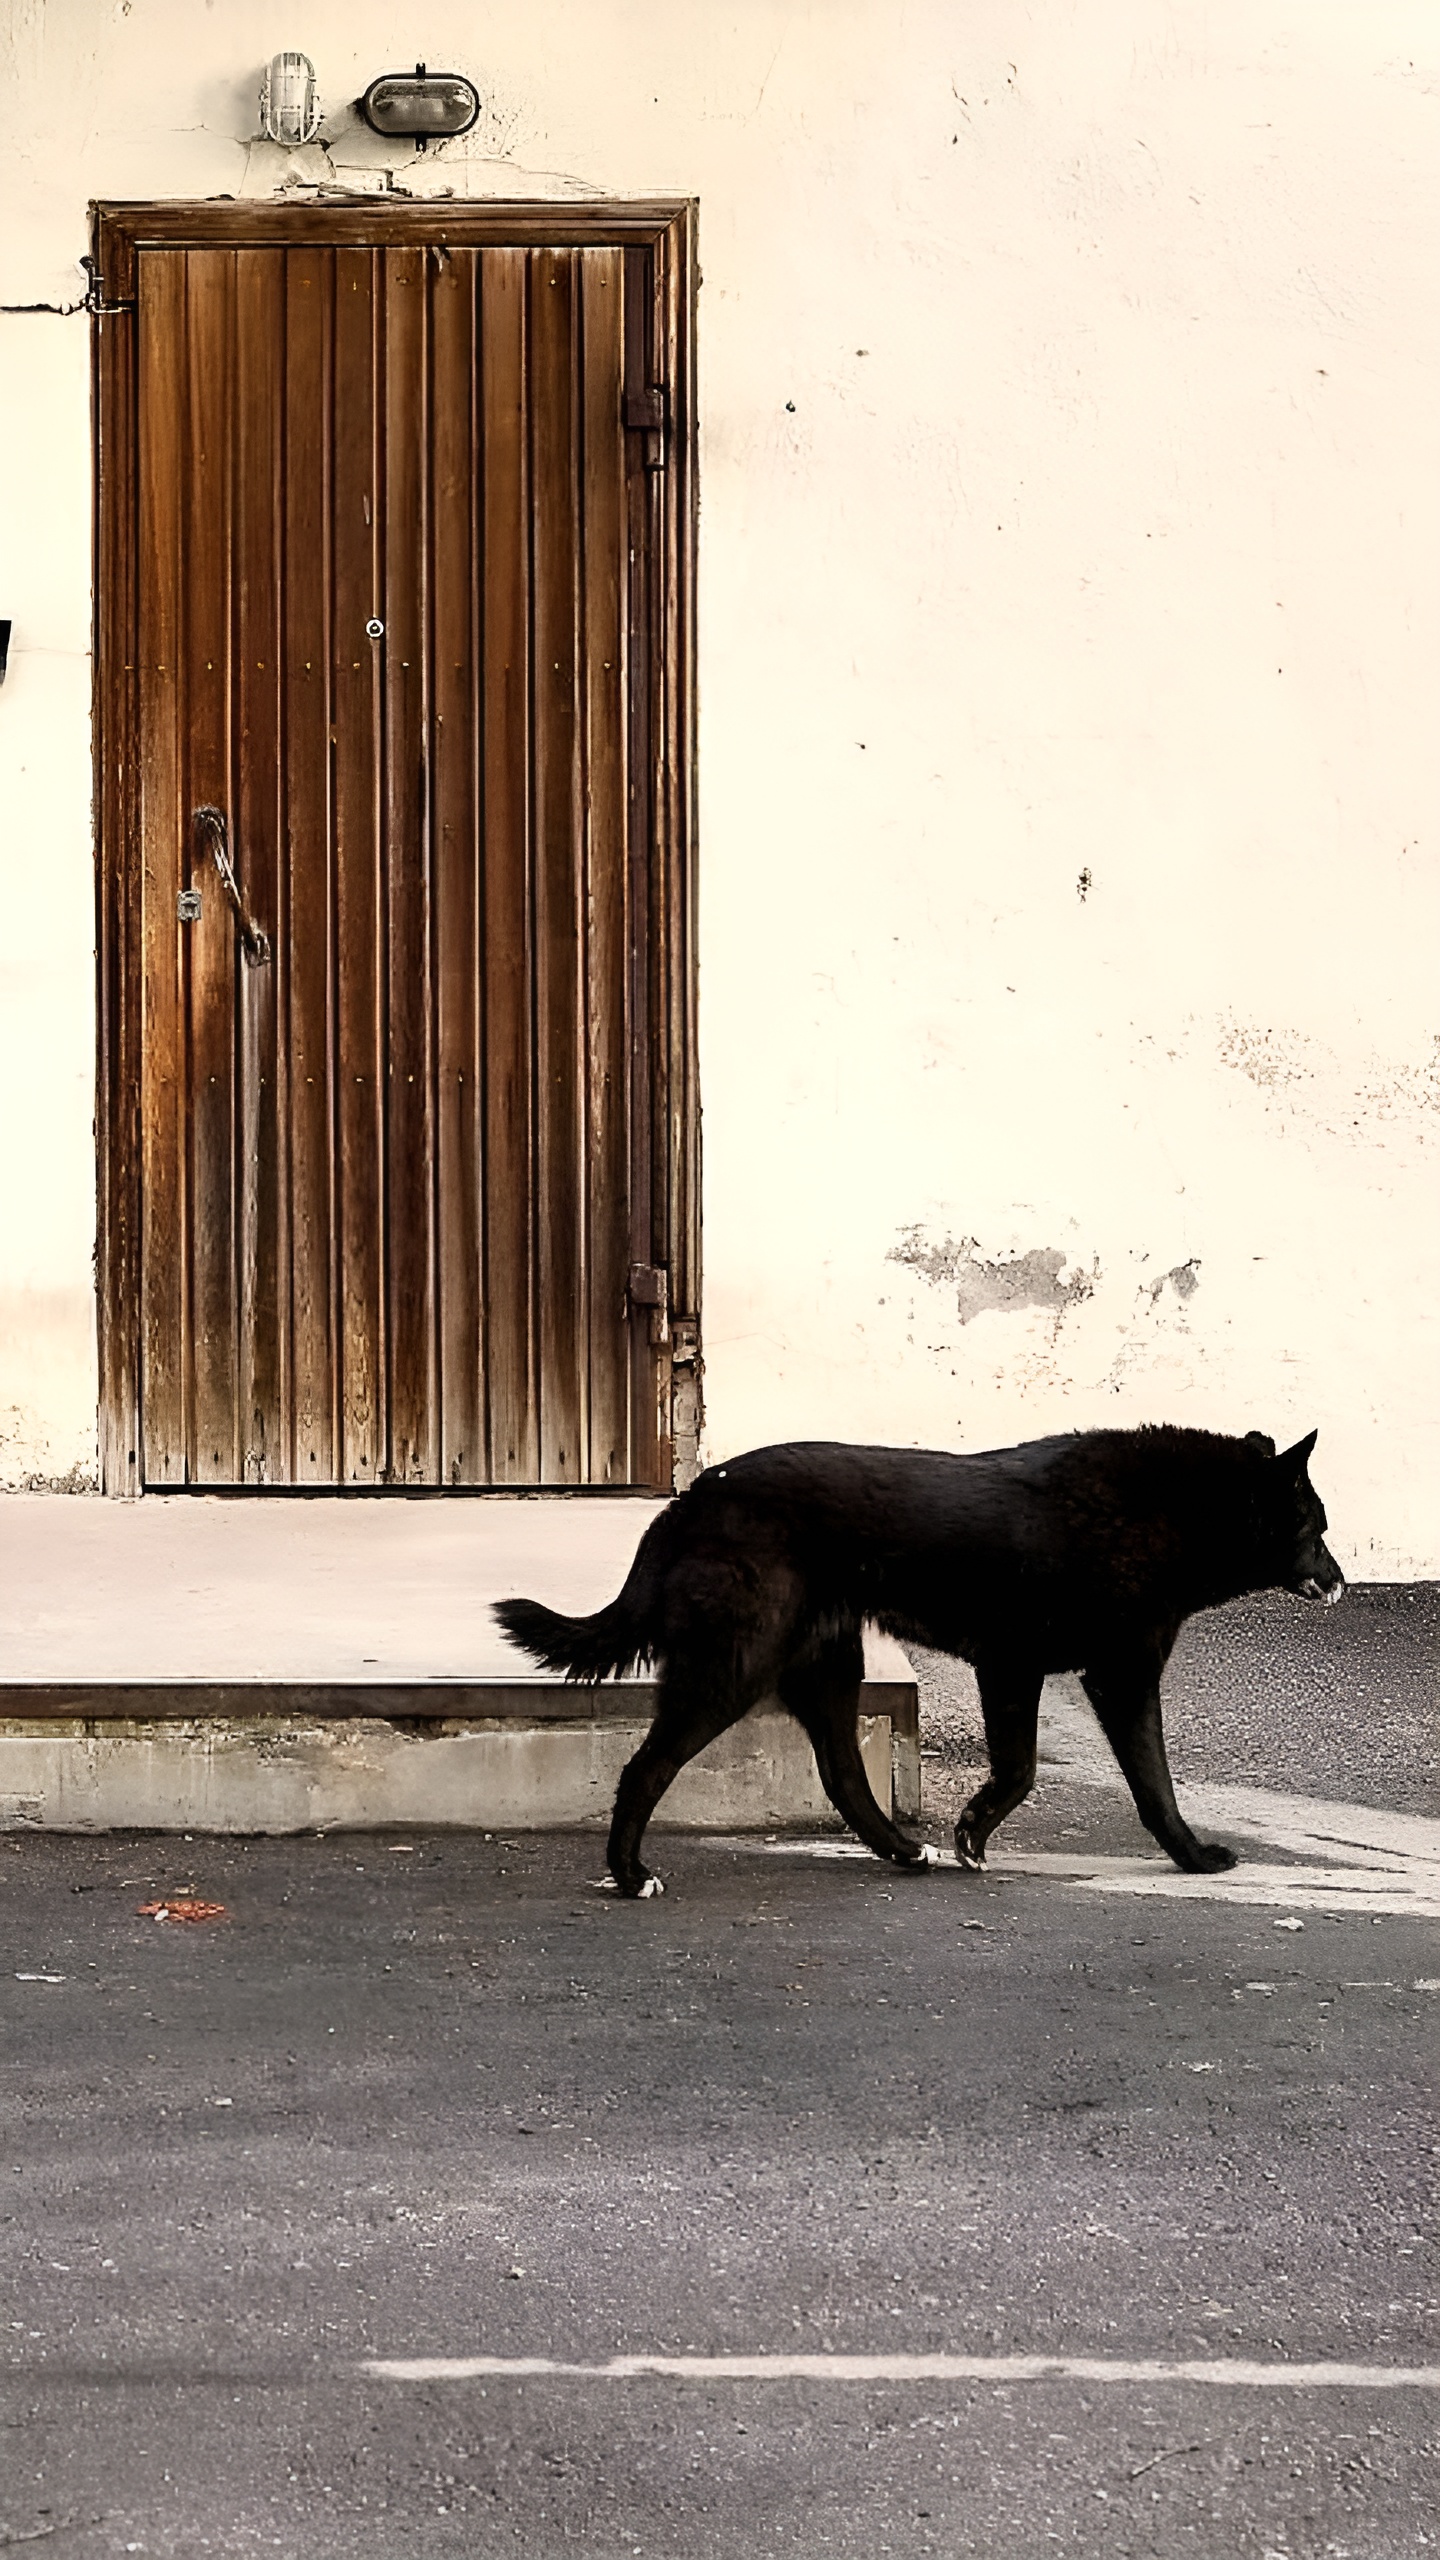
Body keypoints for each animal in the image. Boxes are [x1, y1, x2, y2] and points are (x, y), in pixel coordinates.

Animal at [489, 1433, 1332, 1894]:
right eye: (1314, 1525)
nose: (1338, 1578)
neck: (1168, 1510)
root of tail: (691, 1500)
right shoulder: (1099, 1674)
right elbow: (1141, 1781)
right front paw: (1193, 1857)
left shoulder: (1018, 1670)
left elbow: (1025, 1768)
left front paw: (969, 1834)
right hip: (730, 1668)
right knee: (647, 1767)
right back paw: (629, 1875)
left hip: (827, 1666)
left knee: (840, 1771)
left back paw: (902, 1849)